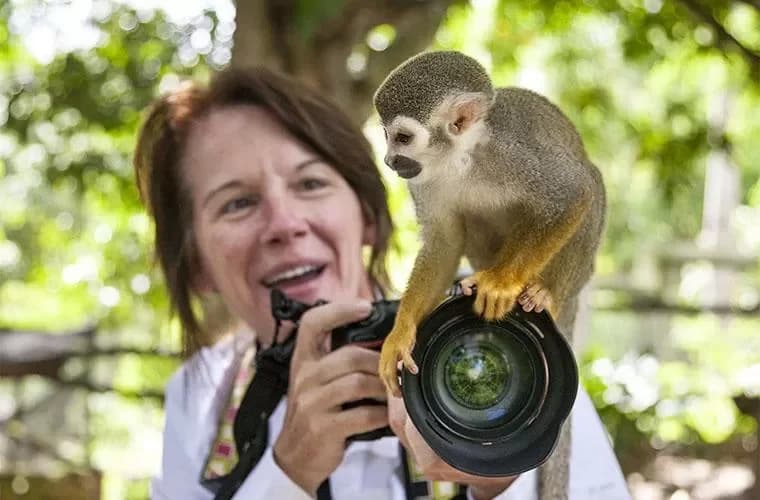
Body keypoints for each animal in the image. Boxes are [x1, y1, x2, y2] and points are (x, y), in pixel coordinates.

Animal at [373, 49, 606, 500]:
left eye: (403, 138)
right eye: (387, 136)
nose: (390, 161)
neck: (462, 157)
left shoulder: (514, 154)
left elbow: (573, 193)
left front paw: (501, 284)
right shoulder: (425, 181)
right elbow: (444, 241)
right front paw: (401, 332)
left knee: (591, 182)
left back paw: (543, 294)